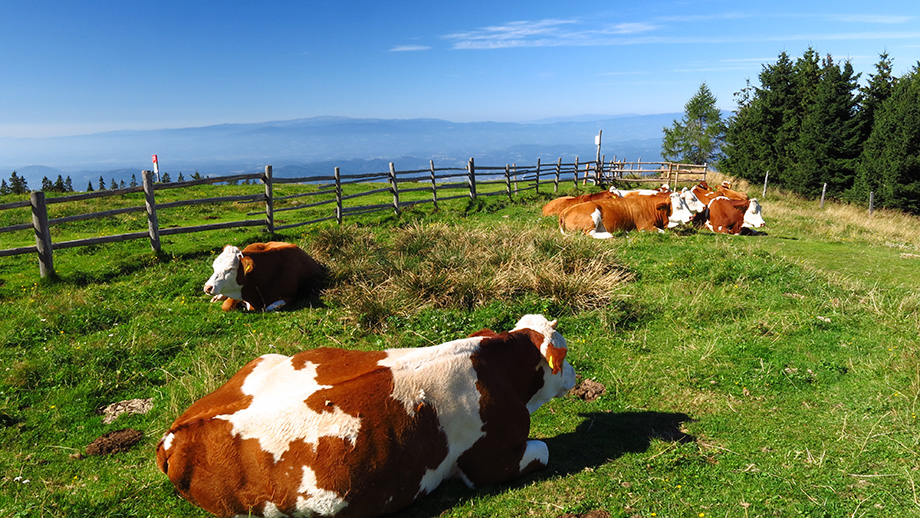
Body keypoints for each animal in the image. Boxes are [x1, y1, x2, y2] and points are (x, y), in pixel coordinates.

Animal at [156, 314, 576, 518]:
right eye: (565, 353)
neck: (495, 366)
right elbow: (544, 450)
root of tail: (177, 433)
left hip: (263, 360)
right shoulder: (491, 463)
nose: (574, 374)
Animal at [556, 192, 692, 239]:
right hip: (593, 215)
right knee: (589, 233)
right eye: (678, 206)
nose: (691, 217)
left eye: (685, 203)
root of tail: (567, 209)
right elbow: (662, 232)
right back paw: (610, 234)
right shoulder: (645, 227)